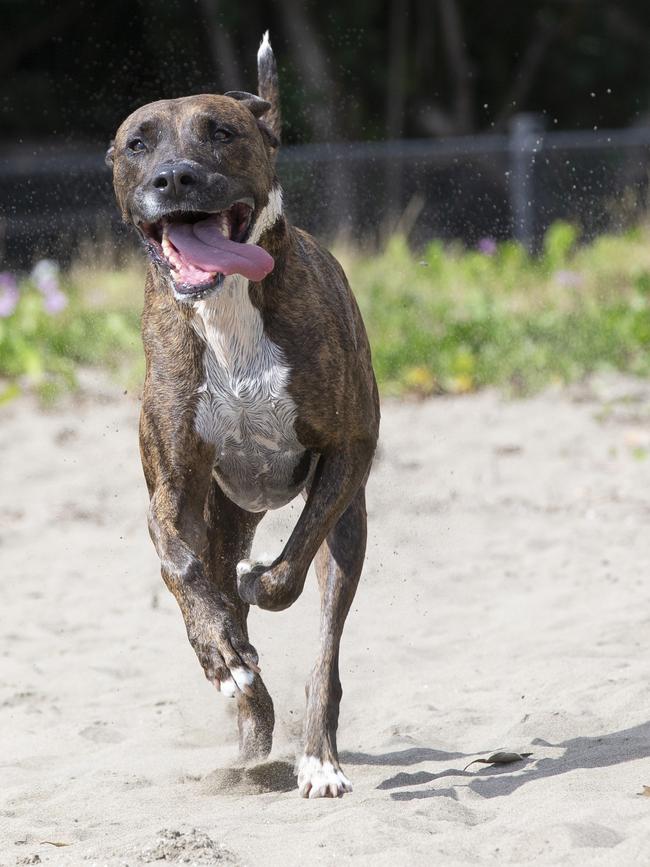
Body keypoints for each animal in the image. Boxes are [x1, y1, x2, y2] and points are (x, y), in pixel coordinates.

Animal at [105, 32, 378, 800]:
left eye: (220, 133)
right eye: (138, 143)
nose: (174, 178)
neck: (227, 306)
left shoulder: (349, 449)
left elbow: (285, 576)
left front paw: (259, 586)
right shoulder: (169, 492)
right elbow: (183, 567)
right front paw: (220, 651)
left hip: (349, 524)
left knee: (323, 643)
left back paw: (317, 758)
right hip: (223, 512)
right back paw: (250, 724)